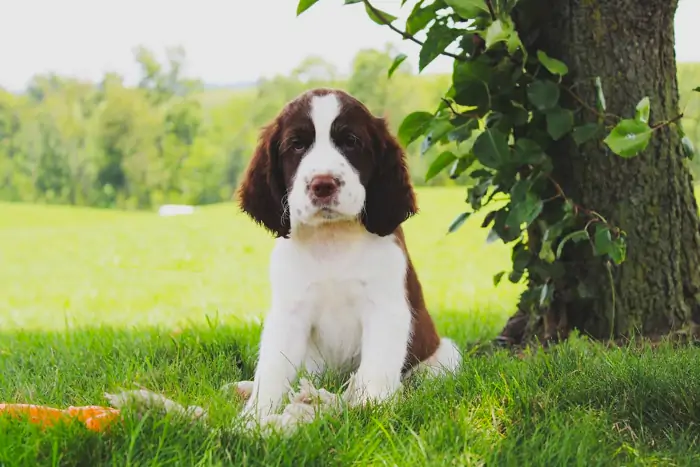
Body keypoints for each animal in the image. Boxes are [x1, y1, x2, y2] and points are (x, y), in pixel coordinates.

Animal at [235, 88, 462, 428]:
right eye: (297, 144)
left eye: (351, 142)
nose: (323, 185)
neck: (333, 240)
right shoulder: (288, 312)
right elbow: (272, 369)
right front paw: (253, 419)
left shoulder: (386, 309)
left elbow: (375, 370)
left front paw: (368, 412)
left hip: (446, 353)